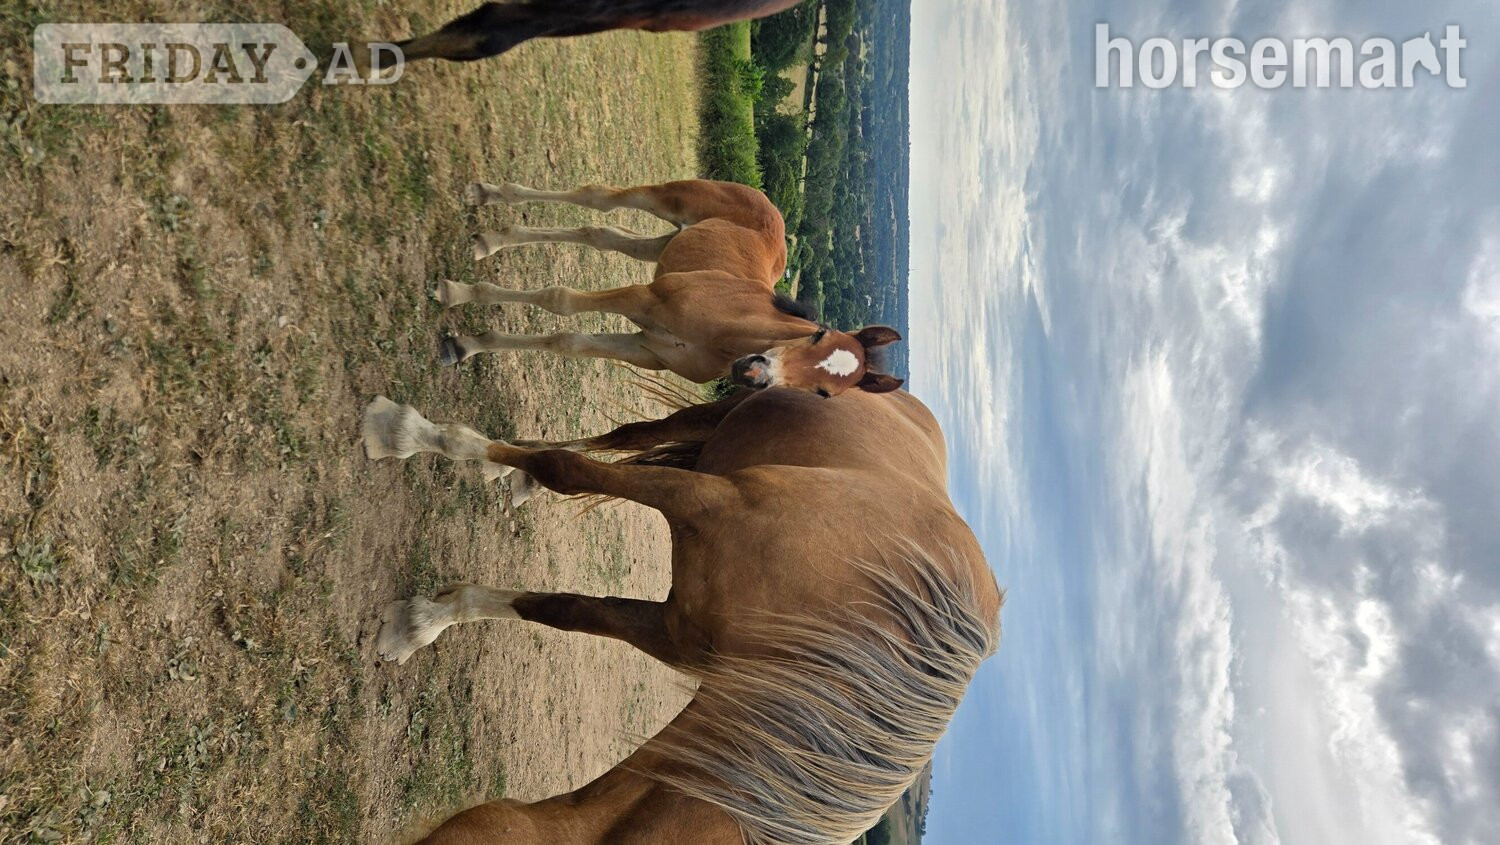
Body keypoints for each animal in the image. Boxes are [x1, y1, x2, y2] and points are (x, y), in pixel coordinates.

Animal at [361, 385, 1003, 844]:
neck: (847, 622)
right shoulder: (702, 498)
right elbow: (565, 471)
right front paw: (408, 433)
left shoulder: (675, 632)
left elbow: (560, 609)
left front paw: (425, 620)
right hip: (712, 416)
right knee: (624, 435)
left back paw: (509, 470)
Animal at [438, 177, 905, 397]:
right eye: (818, 334)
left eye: (824, 393)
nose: (754, 373)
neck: (722, 335)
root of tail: (768, 201)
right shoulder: (643, 299)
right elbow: (562, 301)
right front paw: (459, 295)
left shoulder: (645, 348)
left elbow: (567, 341)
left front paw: (465, 344)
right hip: (667, 197)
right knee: (599, 197)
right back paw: (488, 196)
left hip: (665, 244)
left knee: (604, 234)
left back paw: (492, 238)